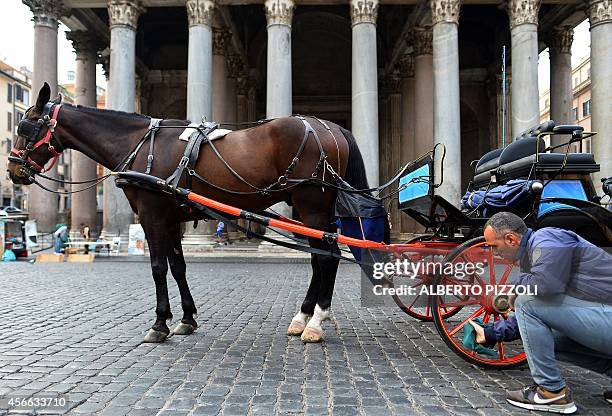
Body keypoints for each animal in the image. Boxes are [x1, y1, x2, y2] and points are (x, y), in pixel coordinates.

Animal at [7, 83, 370, 342]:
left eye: (26, 127)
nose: (13, 170)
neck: (141, 145)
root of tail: (330, 127)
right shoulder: (173, 220)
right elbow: (178, 267)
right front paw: (186, 318)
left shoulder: (153, 216)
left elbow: (157, 268)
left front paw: (159, 323)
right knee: (320, 258)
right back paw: (303, 317)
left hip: (312, 205)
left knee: (326, 258)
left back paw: (316, 322)